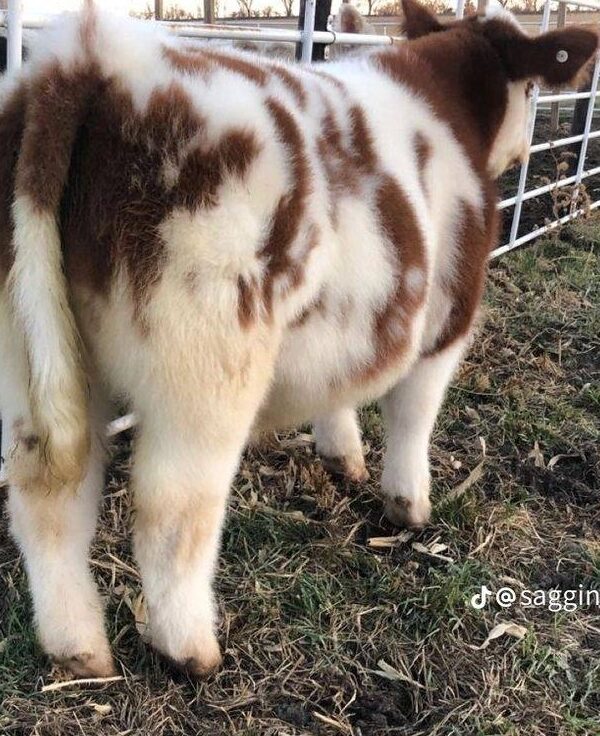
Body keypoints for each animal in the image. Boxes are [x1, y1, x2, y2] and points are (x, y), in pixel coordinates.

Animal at [0, 0, 596, 679]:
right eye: (532, 89)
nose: (524, 149)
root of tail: (88, 56)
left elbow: (341, 384)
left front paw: (342, 456)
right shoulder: (446, 318)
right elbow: (413, 414)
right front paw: (409, 506)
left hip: (29, 356)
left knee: (48, 496)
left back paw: (77, 650)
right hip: (204, 367)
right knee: (170, 509)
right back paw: (191, 649)